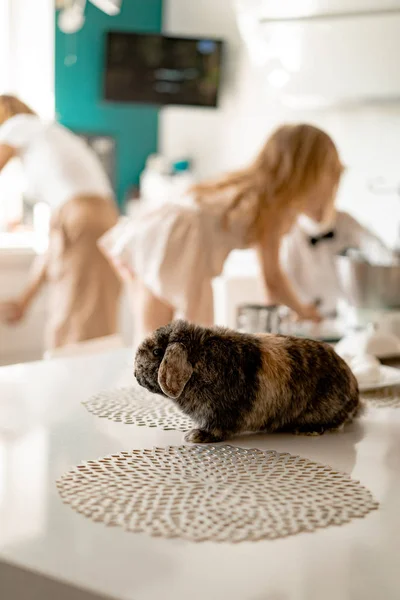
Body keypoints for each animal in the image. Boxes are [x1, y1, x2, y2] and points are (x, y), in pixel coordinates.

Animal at [134, 322, 360, 442]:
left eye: (157, 352)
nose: (135, 374)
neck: (201, 359)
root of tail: (355, 395)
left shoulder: (218, 413)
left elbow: (215, 428)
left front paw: (195, 436)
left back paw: (308, 430)